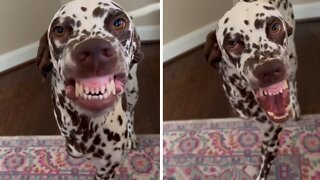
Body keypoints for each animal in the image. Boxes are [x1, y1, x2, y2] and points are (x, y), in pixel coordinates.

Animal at [33, 0, 142, 179]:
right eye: (59, 30)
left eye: (118, 22)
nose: (94, 49)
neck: (85, 127)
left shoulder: (106, 169)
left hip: (133, 91)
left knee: (130, 112)